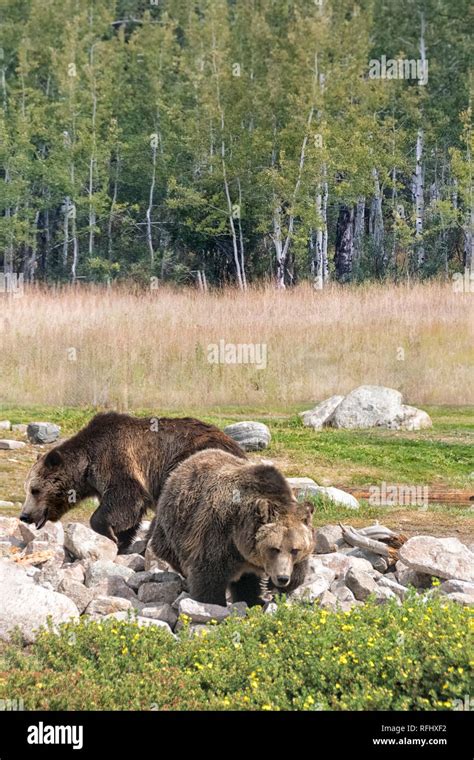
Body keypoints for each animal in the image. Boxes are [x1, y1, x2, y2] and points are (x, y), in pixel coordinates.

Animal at [20, 412, 246, 548]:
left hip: (190, 460)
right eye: (28, 489)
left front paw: (109, 534)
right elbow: (128, 515)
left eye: (35, 490)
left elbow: (126, 498)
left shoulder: (114, 458)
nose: (24, 515)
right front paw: (120, 541)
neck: (86, 464)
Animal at [148, 452, 314, 604]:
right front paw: (213, 602)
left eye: (295, 550)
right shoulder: (218, 533)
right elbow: (208, 578)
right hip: (177, 523)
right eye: (274, 548)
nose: (282, 578)